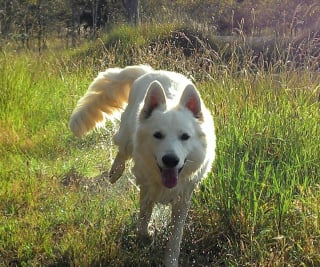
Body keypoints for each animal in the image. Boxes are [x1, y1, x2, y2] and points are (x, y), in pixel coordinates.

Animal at [69, 65, 216, 267]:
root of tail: (149, 70)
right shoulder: (147, 188)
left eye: (185, 136)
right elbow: (144, 217)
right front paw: (146, 236)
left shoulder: (183, 198)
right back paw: (114, 173)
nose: (170, 160)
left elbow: (175, 237)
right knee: (122, 151)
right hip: (127, 135)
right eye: (158, 135)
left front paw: (170, 260)